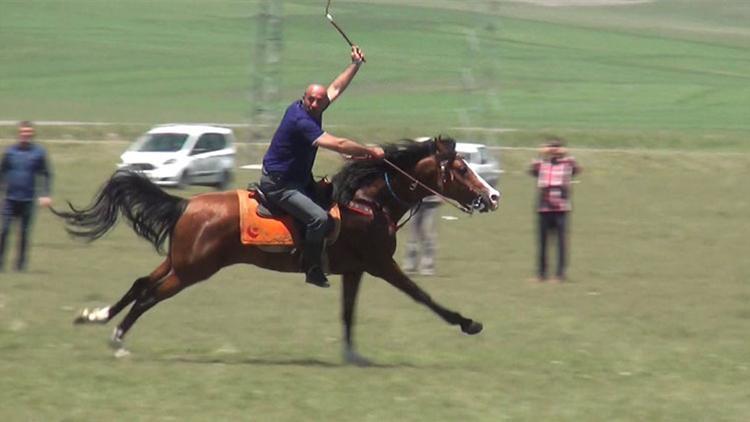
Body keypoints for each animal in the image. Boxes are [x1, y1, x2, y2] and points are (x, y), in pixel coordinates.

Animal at [51, 137, 500, 364]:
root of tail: (187, 205)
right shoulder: (381, 264)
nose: (493, 196)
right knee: (148, 296)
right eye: (461, 168)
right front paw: (468, 323)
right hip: (192, 270)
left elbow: (348, 312)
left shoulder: (355, 270)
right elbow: (423, 296)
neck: (369, 202)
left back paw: (94, 316)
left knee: (140, 282)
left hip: (178, 261)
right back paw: (117, 339)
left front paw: (352, 354)